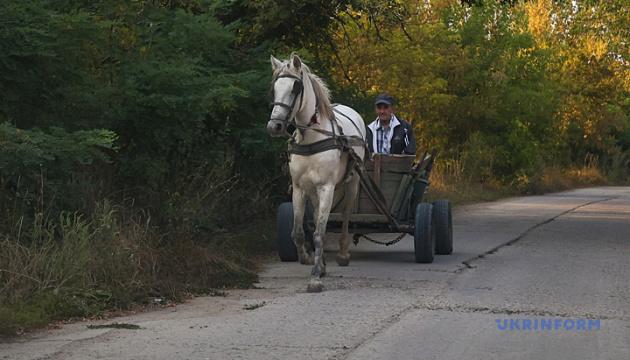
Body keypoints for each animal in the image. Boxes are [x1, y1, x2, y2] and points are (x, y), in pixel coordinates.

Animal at [268, 53, 368, 292]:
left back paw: (342, 254)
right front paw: (308, 259)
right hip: (314, 191)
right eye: (274, 87)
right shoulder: (299, 188)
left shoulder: (326, 187)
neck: (312, 137)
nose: (274, 126)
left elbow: (320, 233)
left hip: (351, 184)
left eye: (295, 87)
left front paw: (315, 278)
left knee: (345, 215)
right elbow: (298, 231)